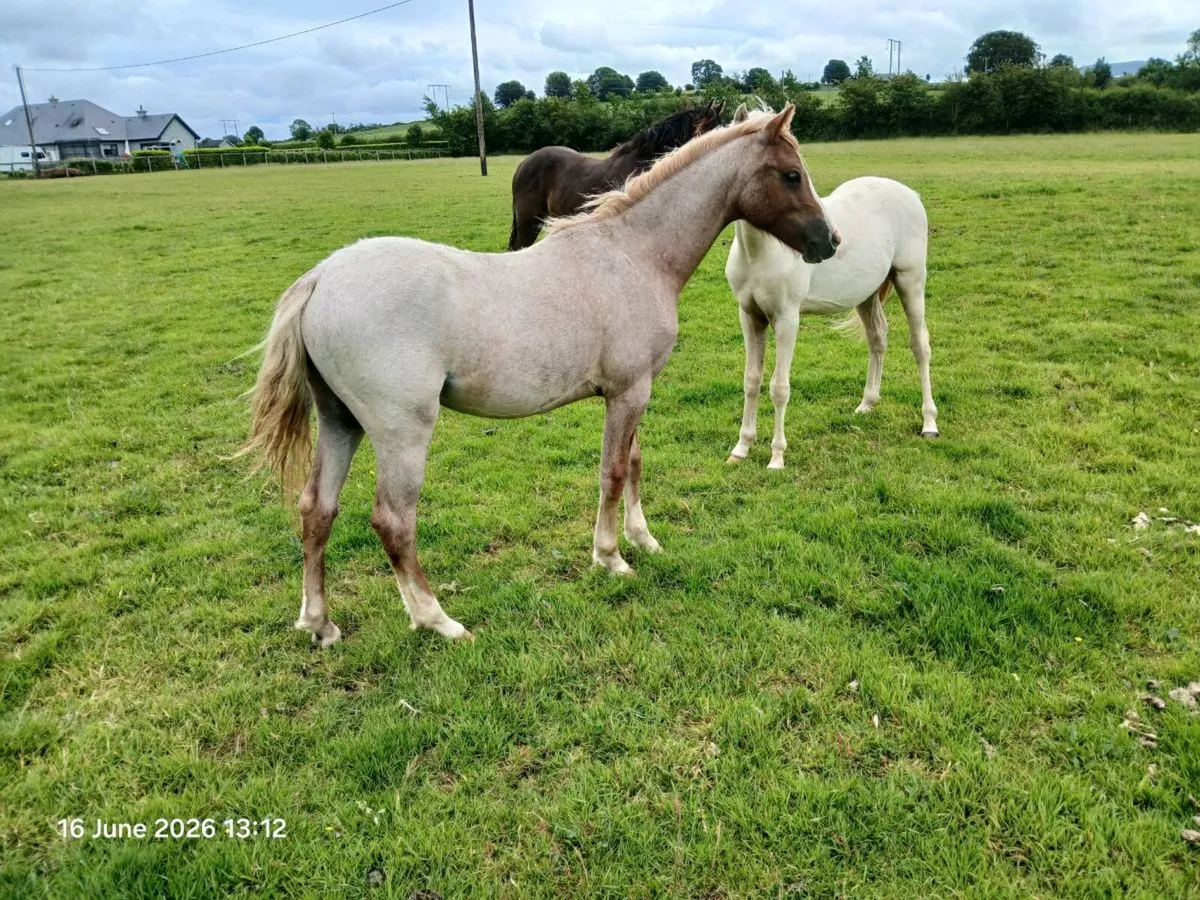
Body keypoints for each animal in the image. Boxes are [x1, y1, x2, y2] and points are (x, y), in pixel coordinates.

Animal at [723, 104, 938, 470]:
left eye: (795, 173)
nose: (830, 240)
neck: (760, 251)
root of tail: (910, 194)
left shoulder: (787, 319)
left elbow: (779, 386)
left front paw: (776, 456)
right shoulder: (750, 316)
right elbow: (751, 381)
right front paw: (741, 448)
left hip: (910, 280)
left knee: (919, 345)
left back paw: (929, 423)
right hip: (867, 294)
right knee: (878, 338)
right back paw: (867, 404)